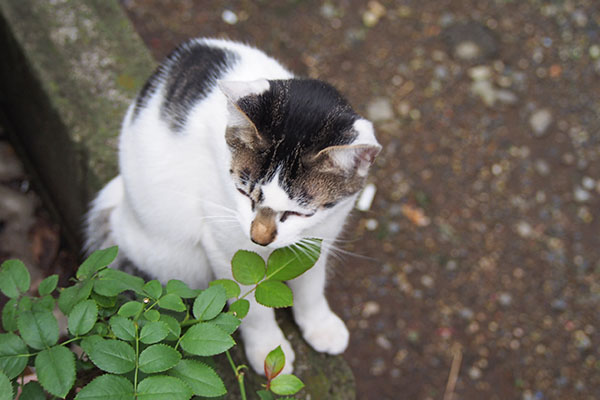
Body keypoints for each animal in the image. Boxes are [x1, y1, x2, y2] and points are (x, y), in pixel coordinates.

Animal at [84, 38, 380, 376]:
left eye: (298, 212)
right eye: (243, 192)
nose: (259, 237)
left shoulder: (318, 236)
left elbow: (311, 283)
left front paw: (320, 324)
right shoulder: (224, 243)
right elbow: (251, 307)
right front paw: (268, 350)